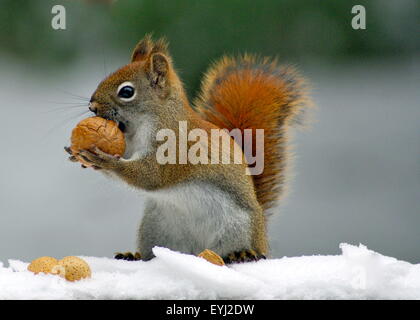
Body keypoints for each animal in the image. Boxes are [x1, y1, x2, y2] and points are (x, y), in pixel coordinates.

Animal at [64, 35, 310, 264]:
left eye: (126, 92)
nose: (92, 105)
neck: (147, 122)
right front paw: (77, 155)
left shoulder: (174, 149)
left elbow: (149, 176)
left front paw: (104, 159)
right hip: (156, 229)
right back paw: (134, 256)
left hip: (238, 228)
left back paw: (243, 254)